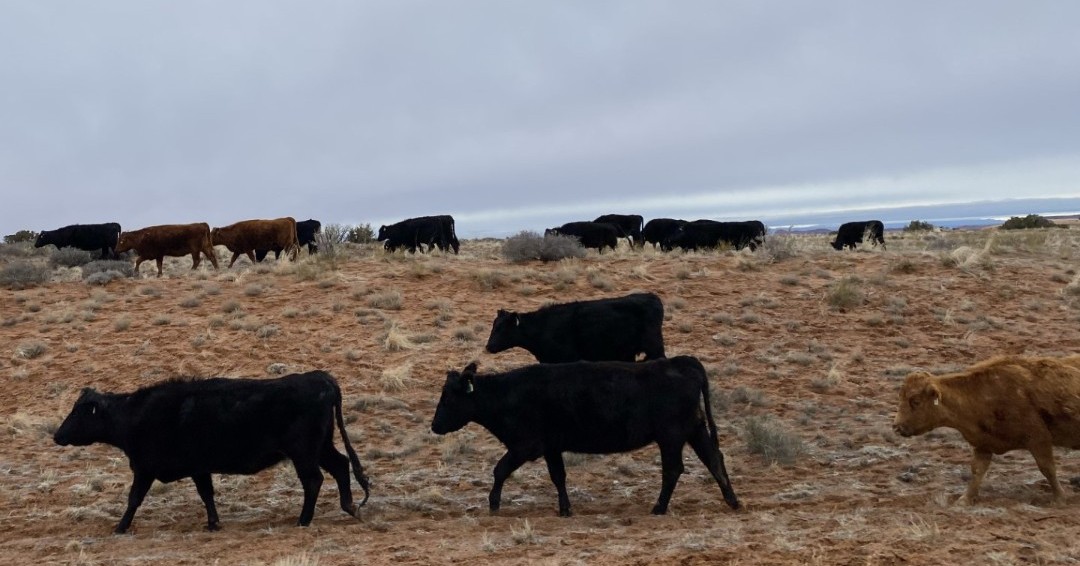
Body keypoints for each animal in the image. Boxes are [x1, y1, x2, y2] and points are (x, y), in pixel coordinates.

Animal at [51, 369, 371, 533]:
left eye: (79, 412)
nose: (57, 435)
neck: (135, 415)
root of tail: (321, 378)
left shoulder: (144, 469)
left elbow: (134, 499)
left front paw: (120, 527)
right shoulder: (199, 468)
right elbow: (207, 494)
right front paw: (213, 523)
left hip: (303, 451)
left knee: (313, 480)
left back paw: (303, 520)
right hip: (321, 446)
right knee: (340, 466)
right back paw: (349, 506)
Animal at [429, 358, 743, 516]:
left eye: (448, 398)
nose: (434, 426)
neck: (507, 394)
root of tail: (684, 363)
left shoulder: (526, 446)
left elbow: (500, 469)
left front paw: (493, 504)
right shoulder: (551, 447)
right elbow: (558, 476)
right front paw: (565, 508)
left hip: (671, 436)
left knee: (674, 469)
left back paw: (659, 507)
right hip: (694, 430)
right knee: (714, 459)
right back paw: (733, 501)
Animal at [889, 356, 1080, 505]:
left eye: (916, 401)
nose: (897, 426)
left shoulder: (1038, 440)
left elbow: (1047, 468)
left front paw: (1059, 499)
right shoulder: (983, 444)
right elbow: (977, 471)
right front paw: (965, 500)